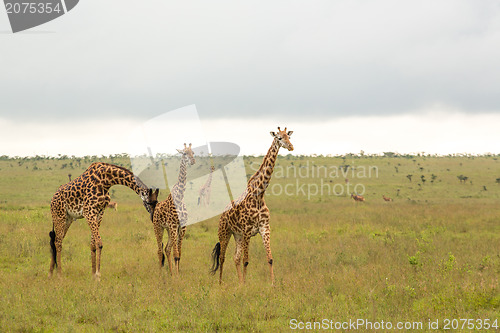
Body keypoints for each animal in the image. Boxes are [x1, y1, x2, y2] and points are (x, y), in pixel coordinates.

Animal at [151, 143, 194, 274]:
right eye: (184, 153)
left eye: (193, 153)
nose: (193, 161)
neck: (180, 197)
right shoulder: (174, 225)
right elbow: (176, 254)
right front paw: (177, 276)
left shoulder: (182, 227)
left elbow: (179, 253)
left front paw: (177, 273)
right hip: (158, 228)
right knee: (159, 251)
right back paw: (161, 274)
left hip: (169, 230)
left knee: (166, 249)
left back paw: (170, 272)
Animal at [210, 126, 292, 284]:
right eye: (279, 137)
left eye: (289, 136)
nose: (291, 147)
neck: (259, 195)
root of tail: (222, 213)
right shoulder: (247, 230)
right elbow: (246, 260)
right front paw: (246, 285)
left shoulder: (265, 228)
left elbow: (270, 259)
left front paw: (272, 284)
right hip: (224, 232)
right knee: (222, 257)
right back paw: (221, 283)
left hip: (237, 235)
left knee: (235, 257)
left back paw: (239, 282)